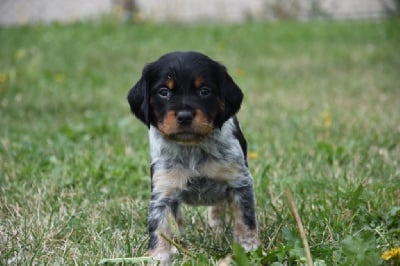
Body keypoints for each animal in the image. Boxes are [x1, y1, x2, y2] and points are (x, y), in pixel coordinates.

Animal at [126, 50, 260, 264]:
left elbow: (245, 220)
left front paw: (249, 250)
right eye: (164, 92)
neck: (192, 149)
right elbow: (160, 228)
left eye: (204, 91)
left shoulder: (239, 182)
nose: (184, 115)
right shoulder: (163, 190)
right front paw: (159, 256)